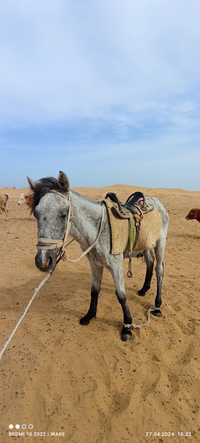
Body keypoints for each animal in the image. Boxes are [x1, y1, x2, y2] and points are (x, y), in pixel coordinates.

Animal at [27, 172, 169, 342]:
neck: (98, 229)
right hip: (146, 244)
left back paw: (157, 305)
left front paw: (127, 326)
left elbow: (121, 295)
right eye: (36, 214)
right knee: (149, 263)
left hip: (160, 243)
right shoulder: (94, 263)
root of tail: (158, 202)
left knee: (159, 270)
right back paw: (144, 289)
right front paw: (89, 315)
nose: (43, 261)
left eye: (63, 214)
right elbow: (94, 290)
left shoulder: (116, 265)